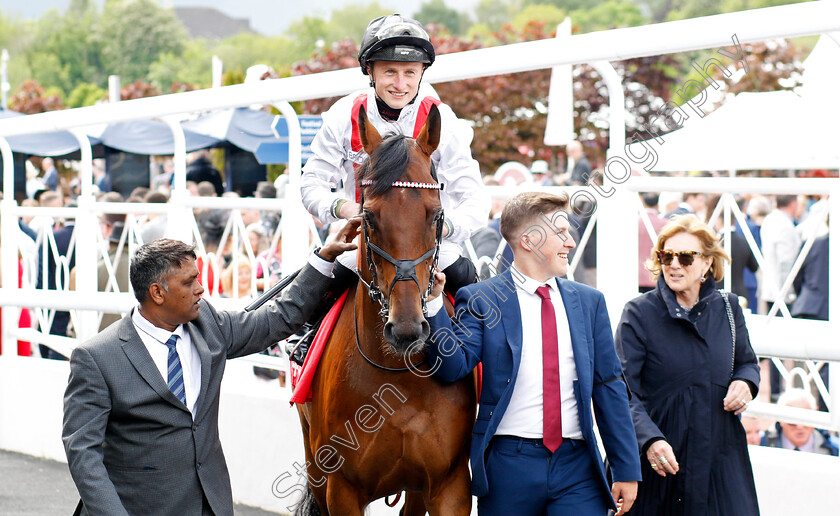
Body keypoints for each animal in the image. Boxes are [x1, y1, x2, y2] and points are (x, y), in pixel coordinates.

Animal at [296, 103, 476, 512]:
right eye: (369, 217)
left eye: (436, 215)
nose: (407, 328)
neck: (401, 376)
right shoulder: (341, 488)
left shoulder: (450, 485)